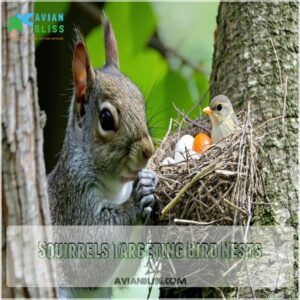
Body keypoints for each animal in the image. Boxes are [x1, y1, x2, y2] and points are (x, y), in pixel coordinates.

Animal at [47, 14, 157, 298]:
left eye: (142, 102)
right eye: (106, 119)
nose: (148, 151)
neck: (114, 188)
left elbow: (122, 272)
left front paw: (150, 183)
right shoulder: (73, 202)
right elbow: (89, 259)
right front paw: (137, 198)